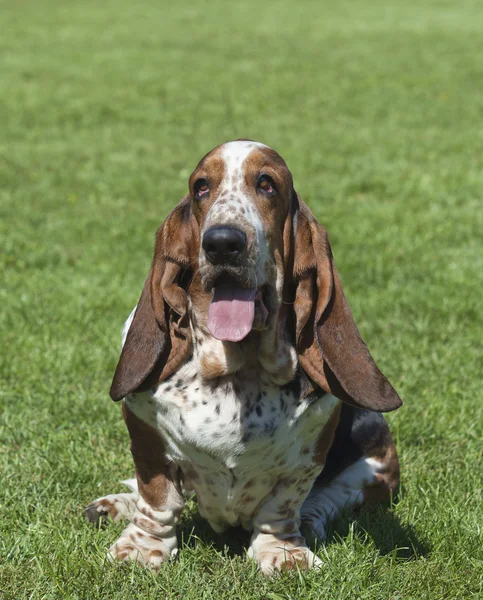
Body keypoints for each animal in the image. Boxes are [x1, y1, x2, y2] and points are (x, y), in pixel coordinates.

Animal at [85, 141, 402, 576]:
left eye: (267, 184)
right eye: (201, 187)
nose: (222, 243)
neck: (238, 372)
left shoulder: (309, 455)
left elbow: (284, 503)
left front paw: (284, 554)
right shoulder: (145, 434)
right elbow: (157, 497)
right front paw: (139, 549)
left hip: (376, 458)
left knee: (326, 499)